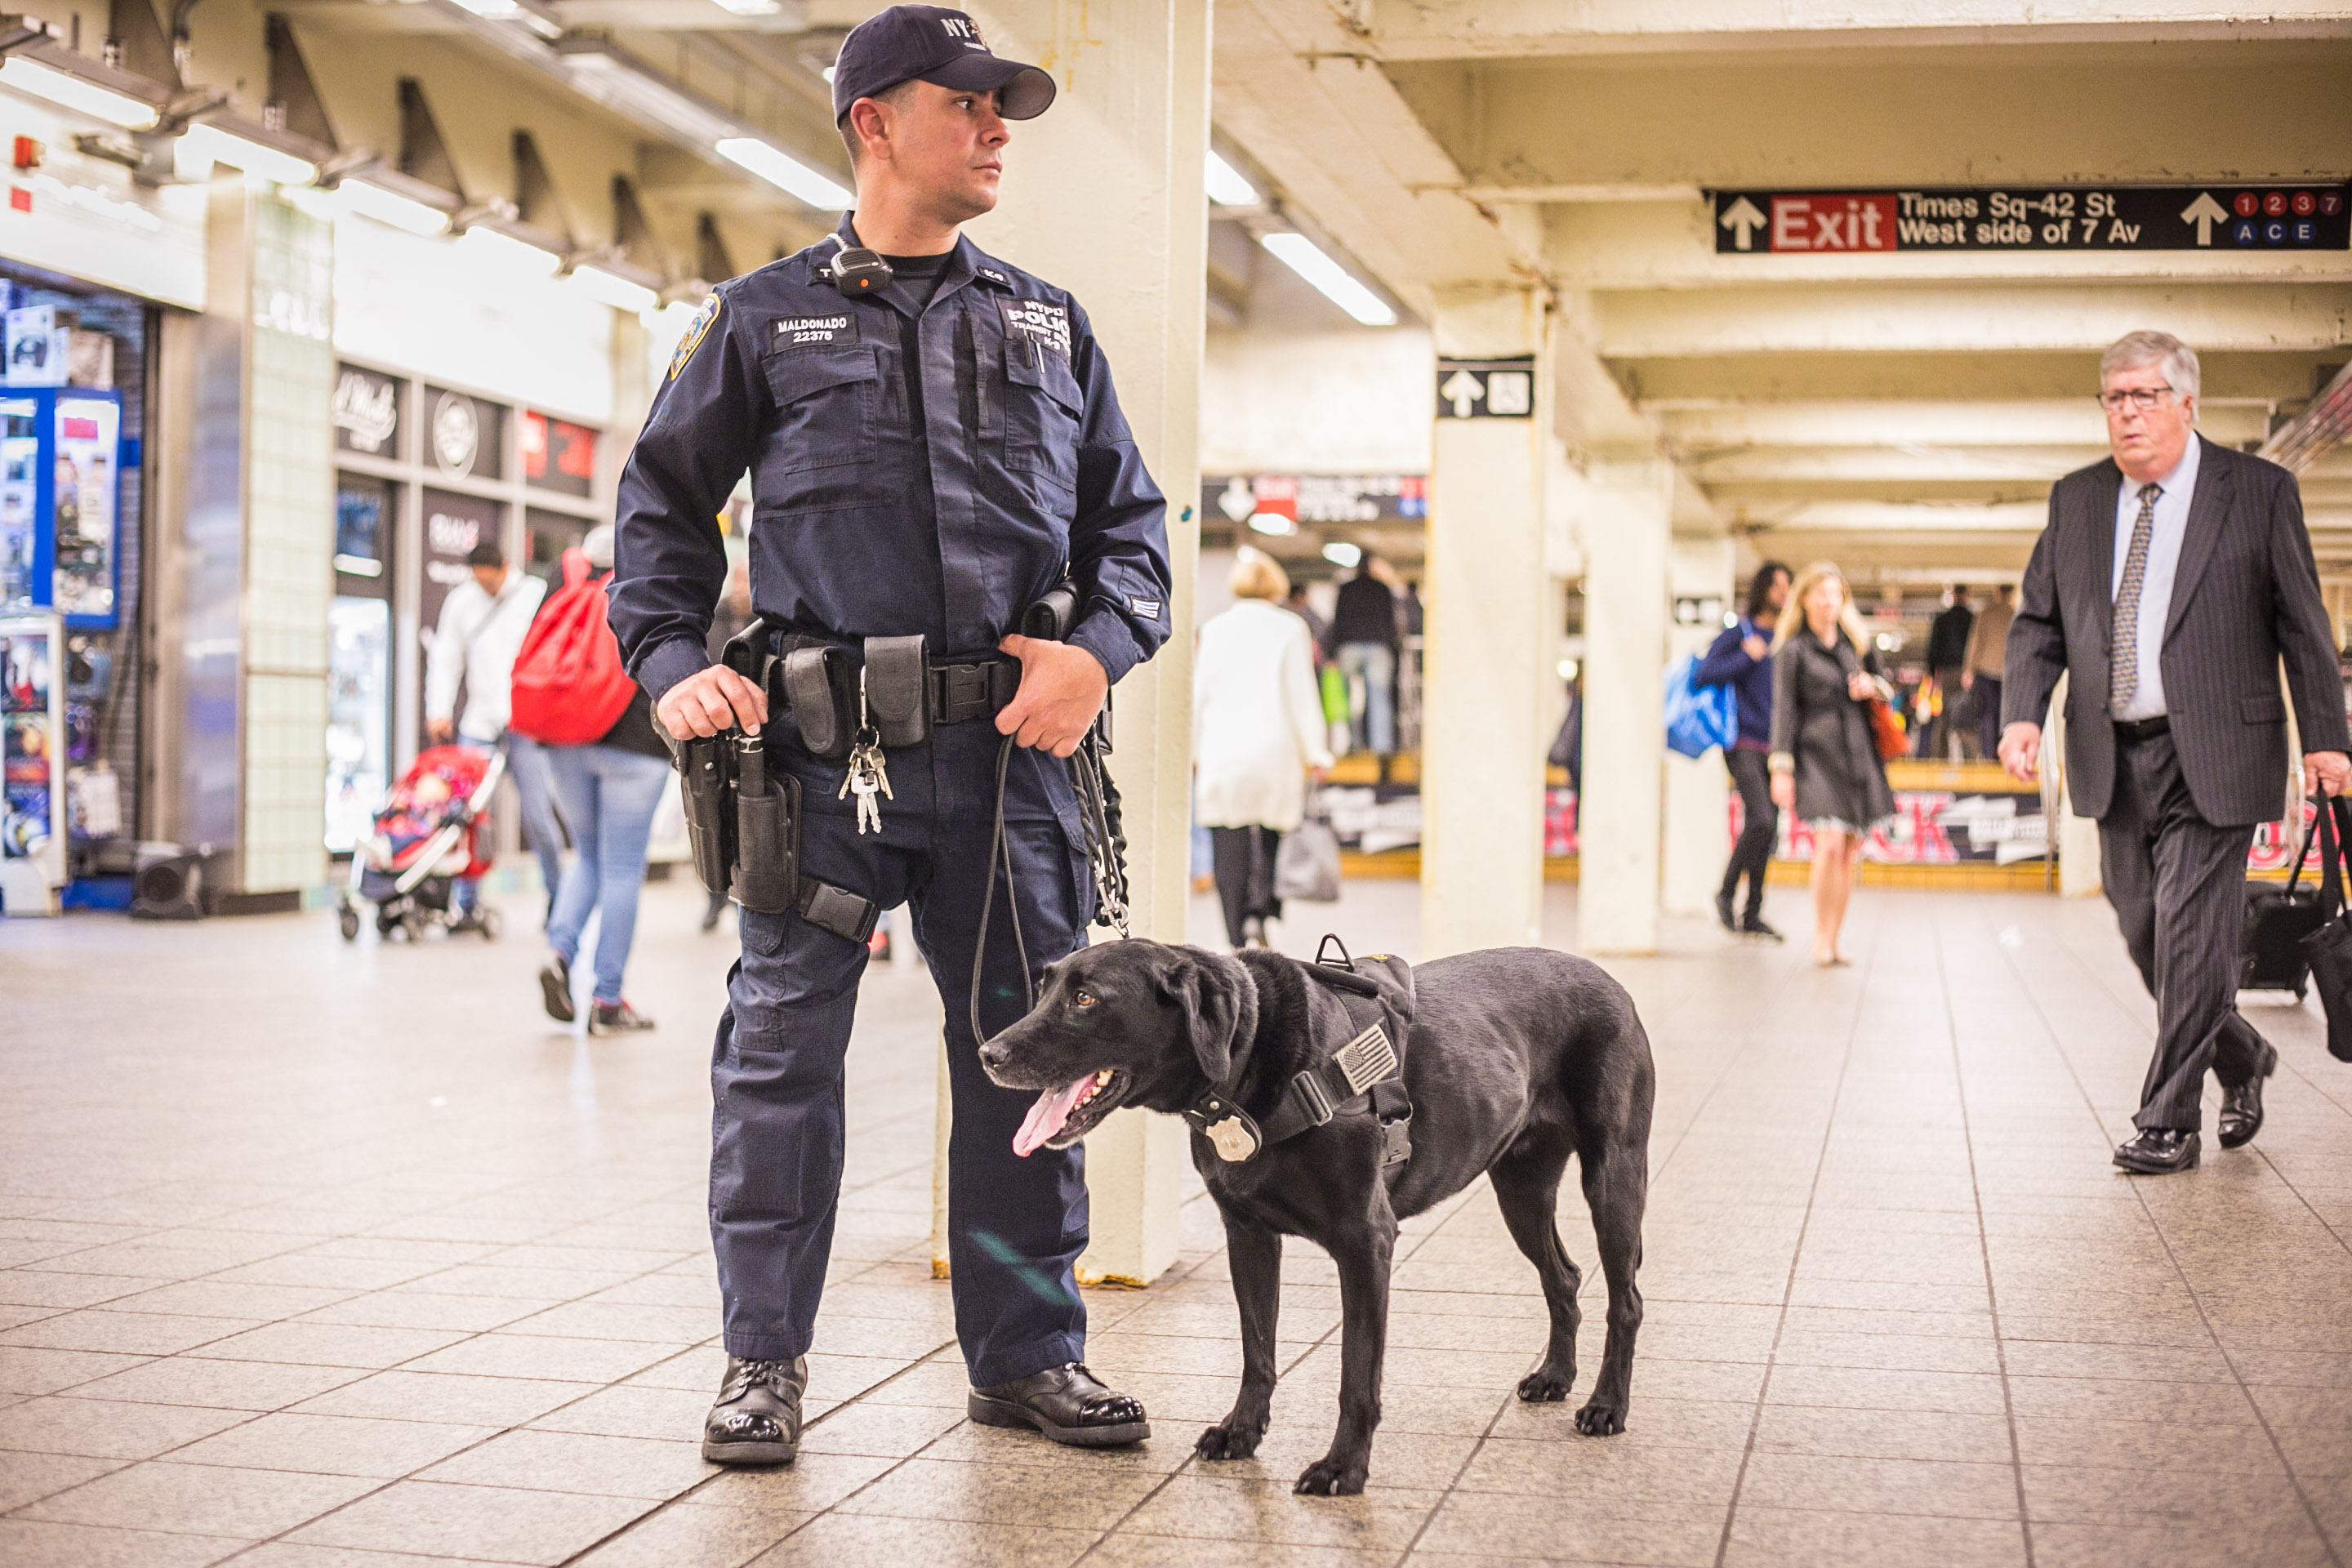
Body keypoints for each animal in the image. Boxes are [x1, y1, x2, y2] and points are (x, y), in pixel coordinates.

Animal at [978, 940, 1655, 1494]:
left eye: (1086, 998)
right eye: (1044, 990)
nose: (989, 1052)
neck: (1250, 1059)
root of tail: (1611, 980)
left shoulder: (1367, 1243)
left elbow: (1357, 1374)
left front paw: (1342, 1470)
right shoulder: (1247, 1236)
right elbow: (1257, 1351)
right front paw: (1242, 1432)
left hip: (1614, 1176)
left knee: (1625, 1299)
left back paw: (1606, 1406)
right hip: (1520, 1187)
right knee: (1563, 1276)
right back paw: (1556, 1376)